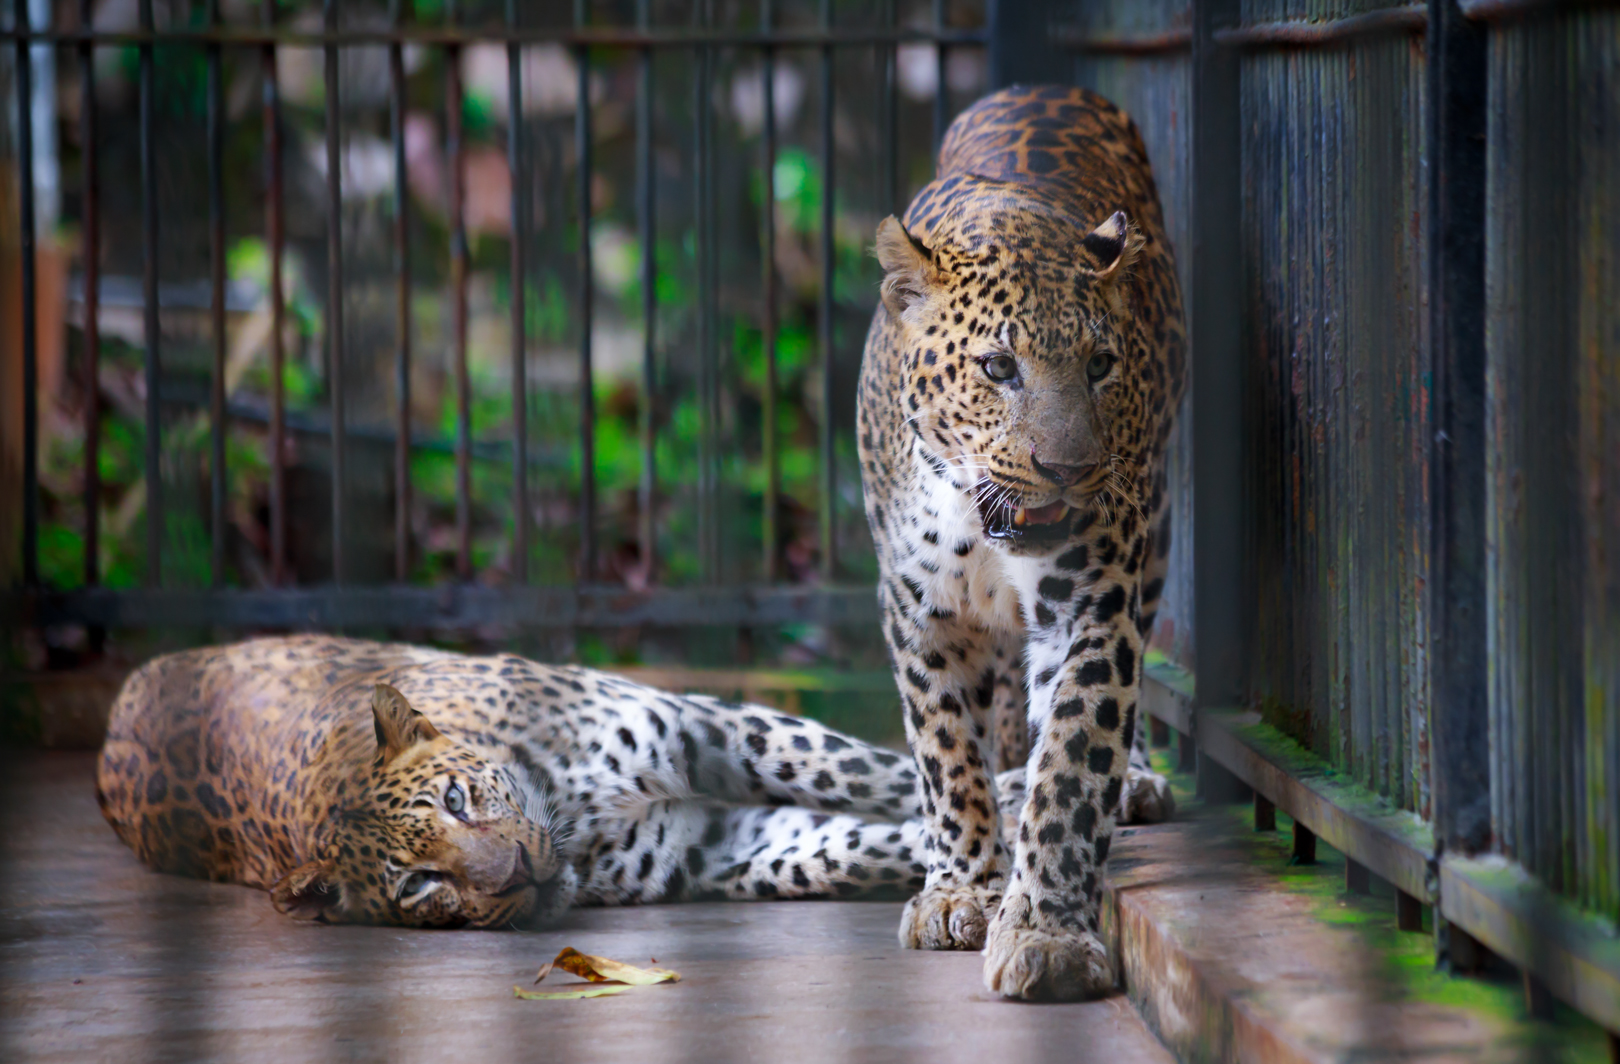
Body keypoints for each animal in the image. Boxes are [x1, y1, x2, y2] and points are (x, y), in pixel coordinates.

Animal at [96, 634, 971, 929]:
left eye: (456, 800)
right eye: (419, 885)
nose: (516, 871)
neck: (570, 804)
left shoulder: (706, 729)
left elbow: (870, 772)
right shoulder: (716, 847)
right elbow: (845, 848)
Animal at [857, 84, 1186, 1000]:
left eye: (1102, 364)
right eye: (998, 369)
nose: (1068, 470)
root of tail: (1038, 88)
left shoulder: (1094, 610)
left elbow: (1071, 764)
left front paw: (1045, 932)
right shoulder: (919, 614)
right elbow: (947, 756)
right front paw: (961, 890)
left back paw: (1134, 779)